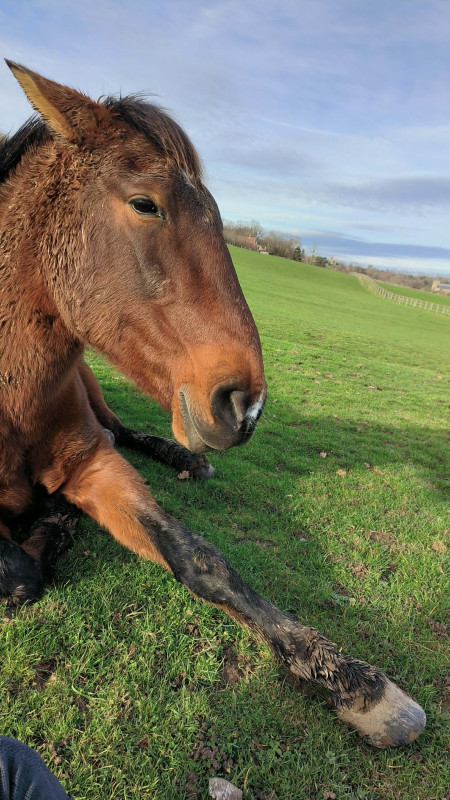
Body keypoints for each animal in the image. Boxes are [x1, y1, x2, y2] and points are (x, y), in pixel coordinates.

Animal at [0, 61, 425, 748]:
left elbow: (200, 558)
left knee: (122, 431)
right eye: (145, 204)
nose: (244, 405)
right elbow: (16, 573)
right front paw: (48, 525)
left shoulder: (91, 463)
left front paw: (355, 682)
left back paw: (183, 460)